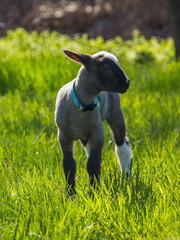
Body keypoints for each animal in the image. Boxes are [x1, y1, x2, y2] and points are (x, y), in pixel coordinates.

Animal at [54, 50, 132, 195]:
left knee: (122, 144)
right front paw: (70, 194)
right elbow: (69, 164)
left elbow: (92, 164)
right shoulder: (63, 136)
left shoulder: (97, 133)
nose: (127, 83)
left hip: (115, 112)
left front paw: (94, 192)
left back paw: (126, 176)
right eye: (106, 67)